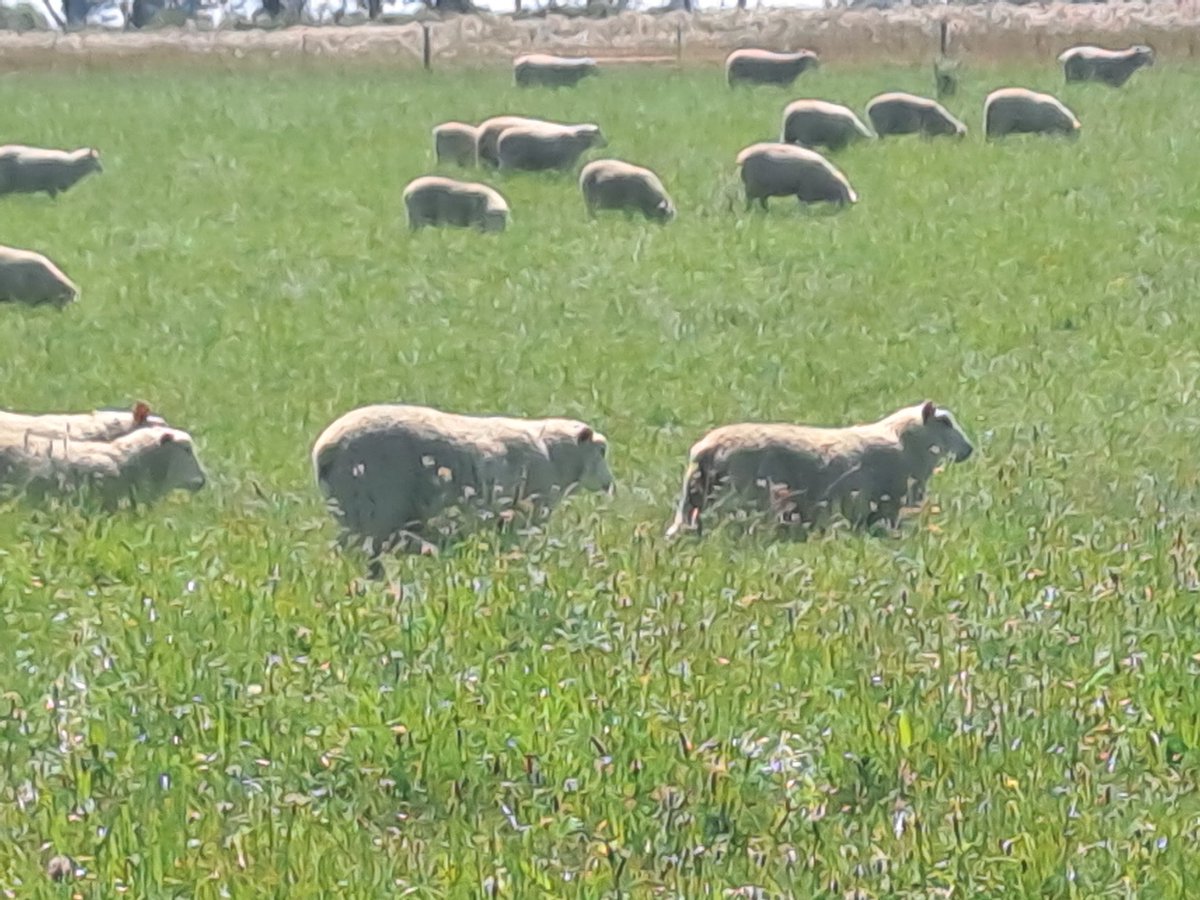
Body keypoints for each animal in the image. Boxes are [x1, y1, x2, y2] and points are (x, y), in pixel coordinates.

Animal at [311, 403, 615, 557]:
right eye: (601, 450)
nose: (609, 483)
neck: (554, 454)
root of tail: (325, 451)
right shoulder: (526, 509)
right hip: (375, 507)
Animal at [665, 401, 973, 538]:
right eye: (944, 422)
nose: (968, 450)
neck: (905, 442)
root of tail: (706, 449)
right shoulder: (888, 509)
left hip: (694, 505)